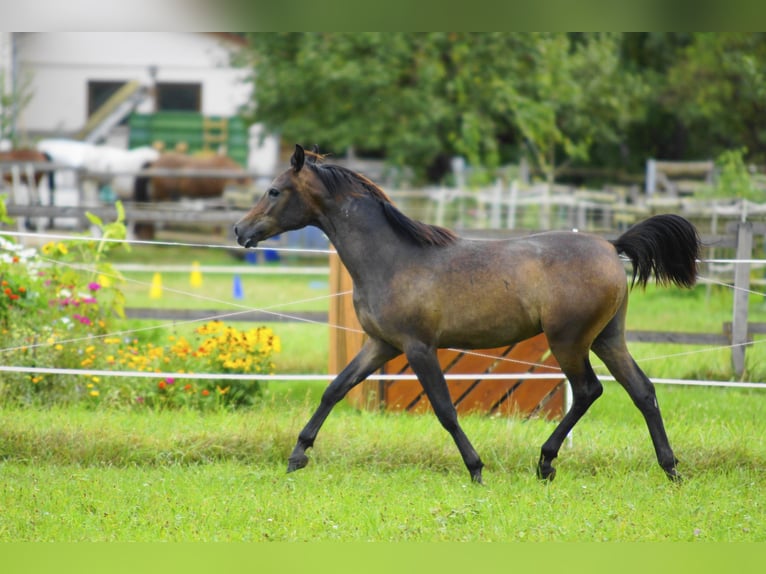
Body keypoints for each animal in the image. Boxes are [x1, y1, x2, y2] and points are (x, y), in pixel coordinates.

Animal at [234, 145, 704, 486]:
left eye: (274, 191)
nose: (240, 230)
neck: (392, 258)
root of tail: (611, 245)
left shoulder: (418, 348)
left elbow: (445, 409)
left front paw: (476, 469)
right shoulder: (381, 345)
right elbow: (334, 389)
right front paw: (297, 455)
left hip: (569, 341)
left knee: (589, 390)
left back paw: (546, 462)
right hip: (607, 338)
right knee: (642, 391)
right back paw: (671, 469)